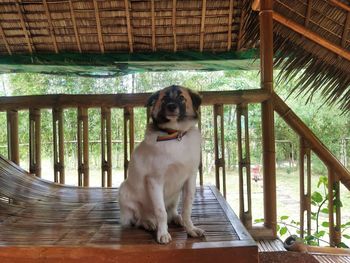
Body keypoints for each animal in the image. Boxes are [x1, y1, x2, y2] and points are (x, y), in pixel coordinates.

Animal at [119, 85, 204, 244]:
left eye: (181, 97)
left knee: (172, 211)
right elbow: (160, 211)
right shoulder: (155, 180)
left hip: (175, 196)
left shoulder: (190, 178)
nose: (171, 106)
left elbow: (187, 208)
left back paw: (177, 219)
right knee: (138, 219)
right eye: (164, 99)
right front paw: (163, 234)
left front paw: (191, 229)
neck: (175, 136)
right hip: (124, 192)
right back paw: (148, 222)